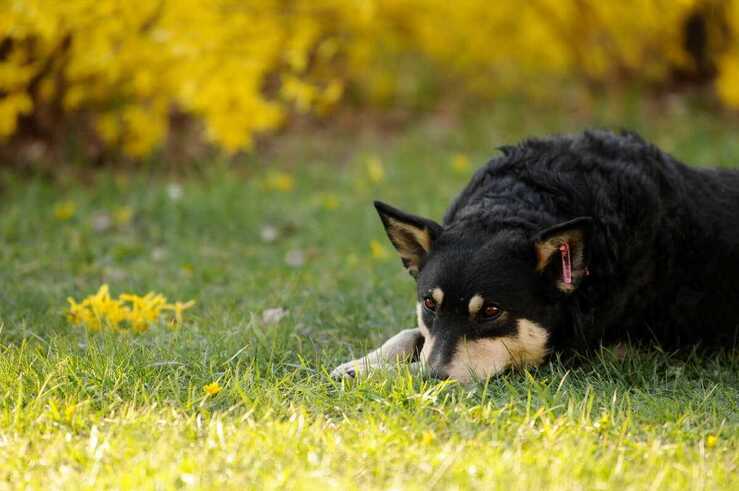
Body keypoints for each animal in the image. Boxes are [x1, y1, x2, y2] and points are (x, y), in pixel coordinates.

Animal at [334, 129, 739, 382]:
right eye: (429, 304)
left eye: (492, 312)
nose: (434, 377)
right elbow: (411, 334)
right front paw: (363, 364)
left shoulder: (567, 353)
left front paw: (388, 375)